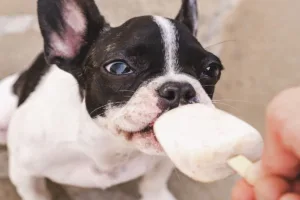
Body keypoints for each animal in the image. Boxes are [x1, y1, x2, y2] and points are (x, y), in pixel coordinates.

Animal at [0, 0, 223, 199]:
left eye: (212, 69)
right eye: (118, 67)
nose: (179, 89)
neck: (109, 144)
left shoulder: (164, 159)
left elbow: (154, 182)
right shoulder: (25, 172)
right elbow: (36, 193)